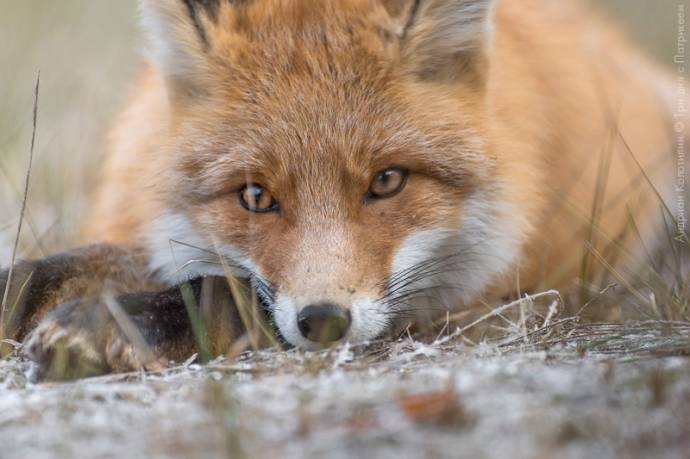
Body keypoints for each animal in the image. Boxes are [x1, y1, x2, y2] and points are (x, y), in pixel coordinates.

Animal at [0, 0, 676, 378]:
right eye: (254, 196)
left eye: (387, 181)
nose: (324, 320)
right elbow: (61, 265)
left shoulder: (448, 302)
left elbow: (223, 292)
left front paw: (113, 323)